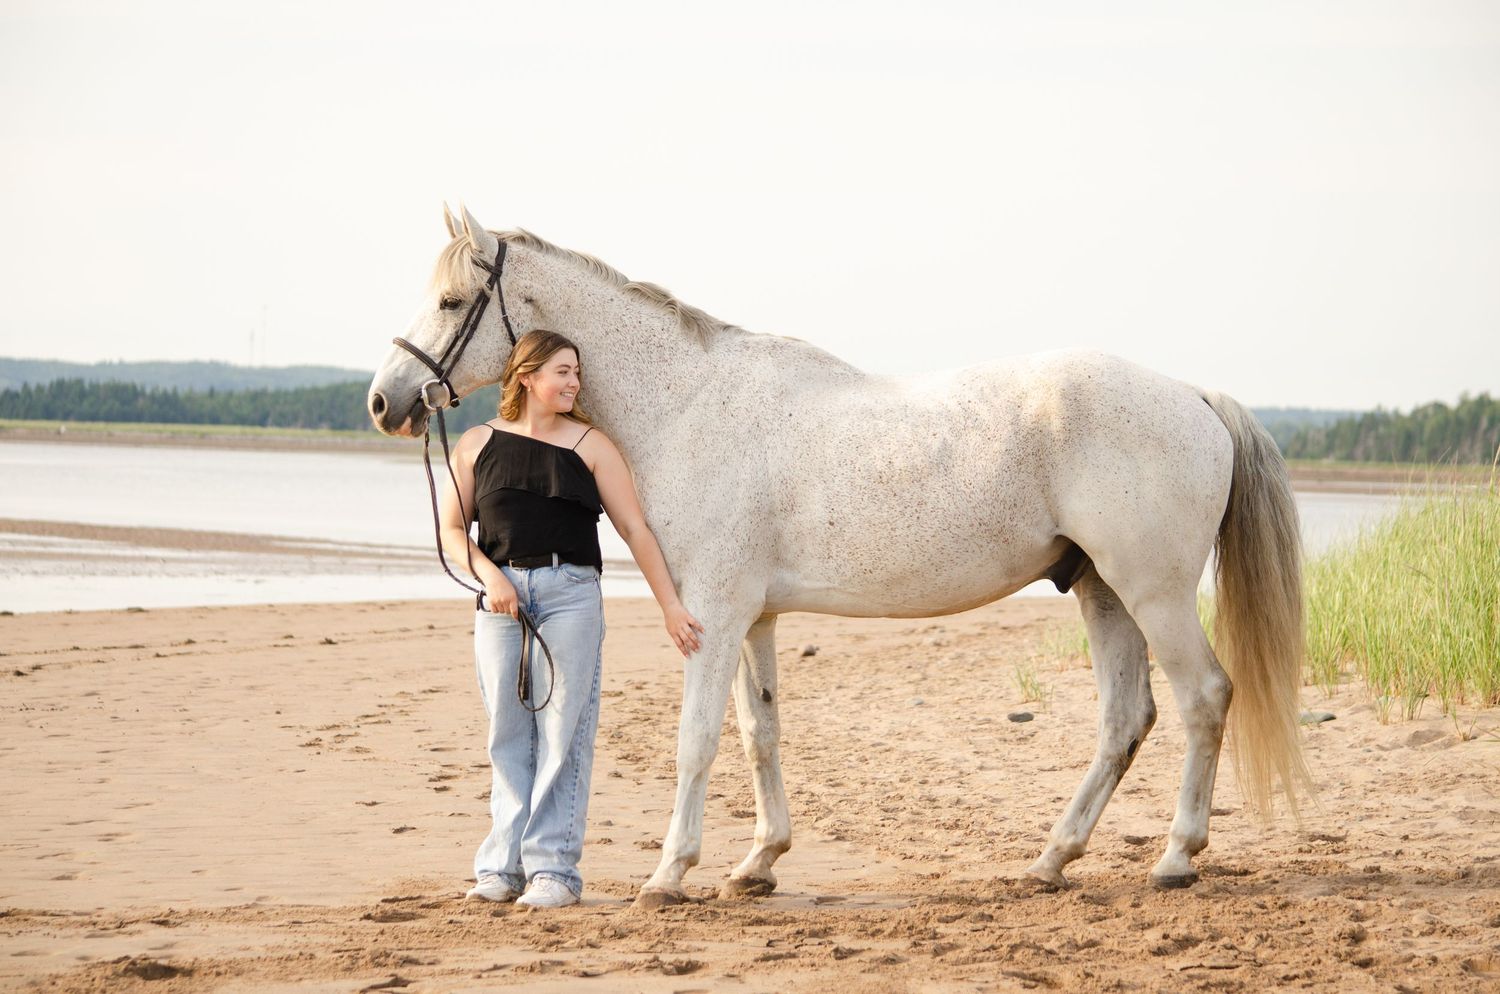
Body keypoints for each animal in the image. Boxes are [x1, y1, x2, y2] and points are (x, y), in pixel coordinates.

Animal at [368, 204, 1312, 908]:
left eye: (451, 302)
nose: (385, 401)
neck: (687, 405)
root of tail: (1193, 395)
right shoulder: (752, 619)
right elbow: (761, 735)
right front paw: (757, 864)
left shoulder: (711, 616)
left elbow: (696, 741)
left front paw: (671, 873)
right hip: (1102, 592)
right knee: (1125, 720)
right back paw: (1051, 860)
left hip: (1152, 593)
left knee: (1203, 698)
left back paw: (1175, 858)